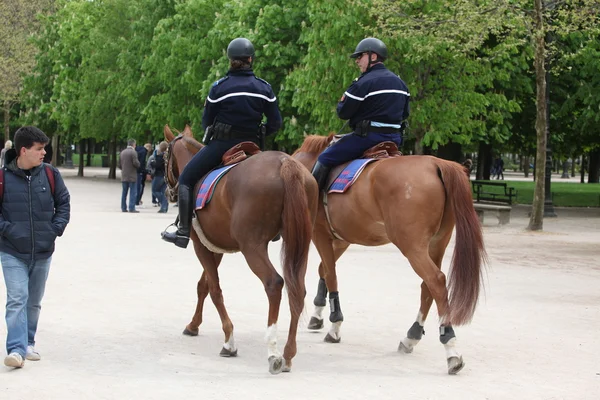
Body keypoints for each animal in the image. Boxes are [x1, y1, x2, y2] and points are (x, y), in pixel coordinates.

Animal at [162, 125, 316, 376]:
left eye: (164, 155)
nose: (169, 193)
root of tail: (285, 162)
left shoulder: (200, 245)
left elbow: (215, 290)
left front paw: (229, 341)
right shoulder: (214, 247)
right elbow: (204, 286)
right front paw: (193, 325)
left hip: (252, 247)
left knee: (274, 284)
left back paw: (273, 351)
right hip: (299, 244)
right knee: (297, 290)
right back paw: (288, 354)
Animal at [294, 134, 488, 376]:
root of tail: (436, 164)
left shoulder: (320, 234)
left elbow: (330, 274)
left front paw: (335, 325)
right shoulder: (342, 238)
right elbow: (325, 270)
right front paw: (318, 315)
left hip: (412, 247)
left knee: (436, 280)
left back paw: (450, 347)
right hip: (436, 244)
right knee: (428, 286)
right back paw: (411, 336)